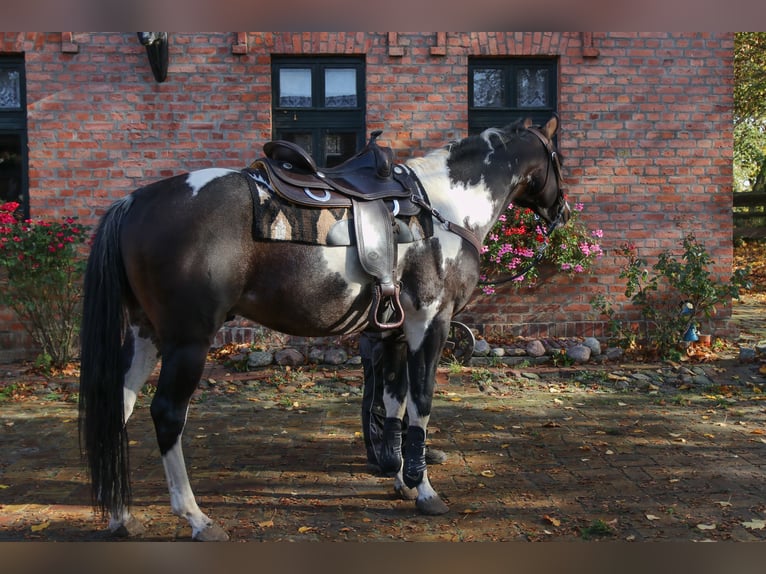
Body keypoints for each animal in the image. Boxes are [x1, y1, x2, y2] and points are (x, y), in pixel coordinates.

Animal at [79, 115, 568, 544]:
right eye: (558, 156)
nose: (561, 212)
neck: (443, 209)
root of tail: (135, 203)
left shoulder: (394, 332)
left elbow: (394, 404)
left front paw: (399, 478)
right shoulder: (431, 322)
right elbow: (421, 403)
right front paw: (424, 488)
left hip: (145, 333)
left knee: (119, 404)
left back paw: (121, 517)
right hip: (186, 341)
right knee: (166, 415)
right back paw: (196, 518)